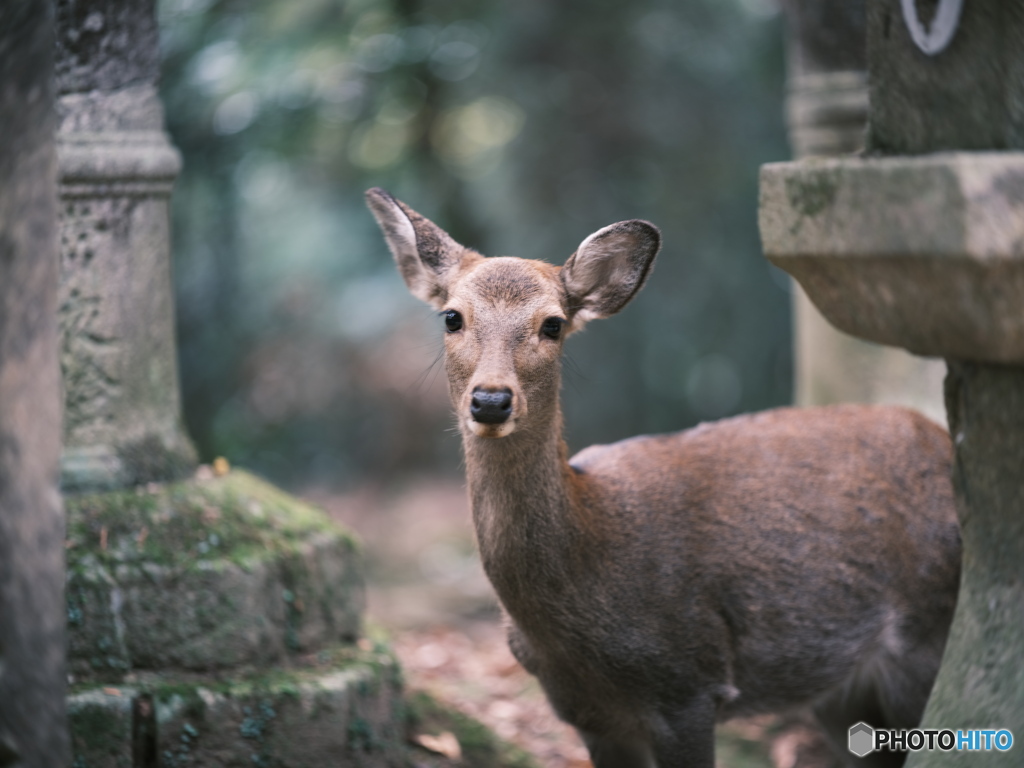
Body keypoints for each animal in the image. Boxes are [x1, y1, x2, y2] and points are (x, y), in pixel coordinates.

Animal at [365, 187, 961, 768]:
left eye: (553, 323)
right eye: (451, 317)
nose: (491, 400)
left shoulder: (690, 681)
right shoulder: (583, 712)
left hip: (929, 631)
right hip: (839, 692)